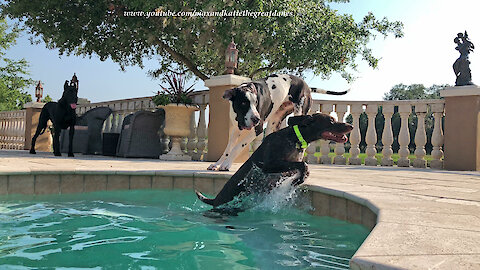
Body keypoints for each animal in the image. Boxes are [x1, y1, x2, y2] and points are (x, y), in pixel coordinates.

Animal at [197, 113, 354, 208]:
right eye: (331, 121)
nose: (351, 126)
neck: (295, 138)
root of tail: (215, 199)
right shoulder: (268, 165)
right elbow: (303, 164)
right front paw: (301, 177)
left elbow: (300, 167)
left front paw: (300, 179)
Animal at [207, 74, 348, 171]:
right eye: (243, 103)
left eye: (256, 102)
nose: (257, 119)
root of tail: (306, 86)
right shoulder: (236, 130)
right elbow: (228, 149)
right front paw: (217, 164)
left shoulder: (257, 130)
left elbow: (237, 147)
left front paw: (226, 164)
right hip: (273, 123)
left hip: (299, 112)